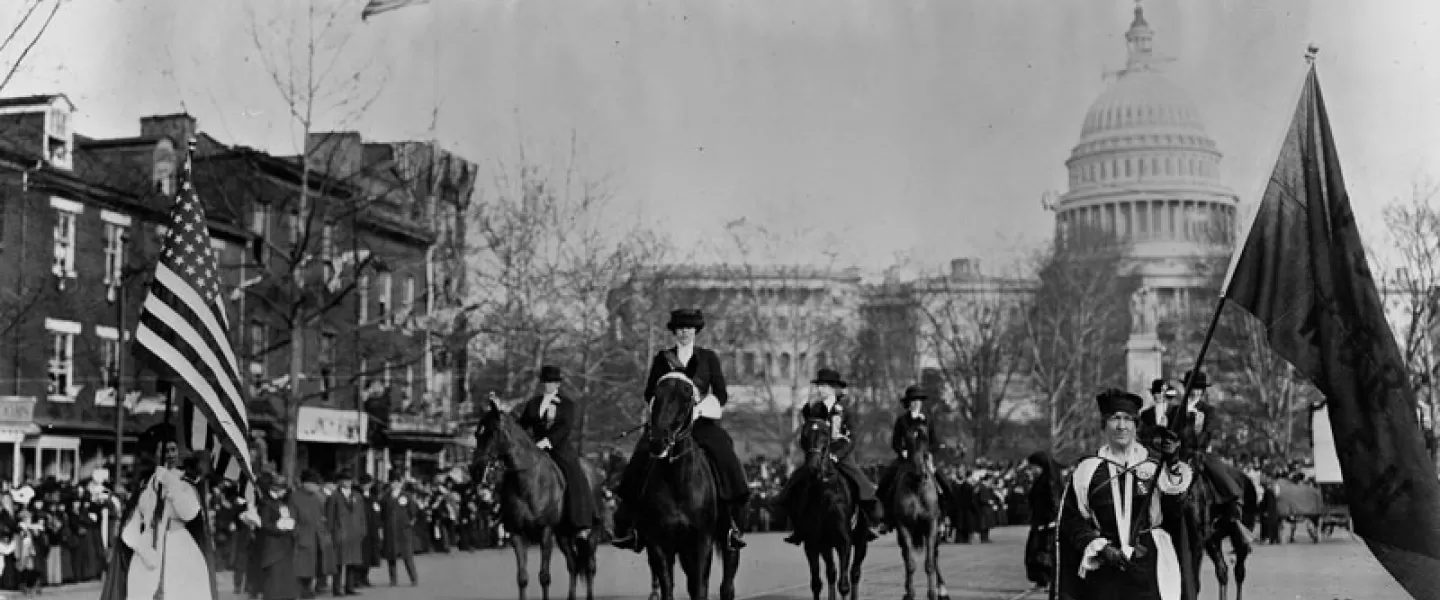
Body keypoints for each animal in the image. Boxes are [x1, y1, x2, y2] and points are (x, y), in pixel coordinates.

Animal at [472, 391, 596, 598]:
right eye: (476, 433)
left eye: (493, 431)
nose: (475, 469)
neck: (527, 482)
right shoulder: (516, 534)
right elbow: (522, 578)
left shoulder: (546, 532)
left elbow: (544, 576)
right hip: (563, 535)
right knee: (573, 564)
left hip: (588, 534)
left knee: (590, 566)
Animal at [636, 371, 743, 595]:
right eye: (656, 395)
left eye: (687, 398)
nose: (658, 441)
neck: (678, 481)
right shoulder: (659, 544)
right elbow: (668, 586)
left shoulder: (701, 542)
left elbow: (699, 586)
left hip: (729, 541)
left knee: (727, 583)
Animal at [794, 417, 869, 598]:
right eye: (803, 435)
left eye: (825, 436)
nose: (813, 468)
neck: (825, 494)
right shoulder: (814, 544)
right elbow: (817, 583)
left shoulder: (844, 542)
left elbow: (844, 585)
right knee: (831, 573)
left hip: (861, 542)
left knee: (854, 573)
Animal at [881, 417, 950, 598]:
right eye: (907, 440)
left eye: (925, 438)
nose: (919, 474)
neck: (916, 486)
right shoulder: (903, 526)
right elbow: (910, 562)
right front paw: (910, 593)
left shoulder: (931, 525)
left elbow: (930, 562)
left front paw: (933, 593)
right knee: (906, 556)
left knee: (935, 555)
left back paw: (942, 589)